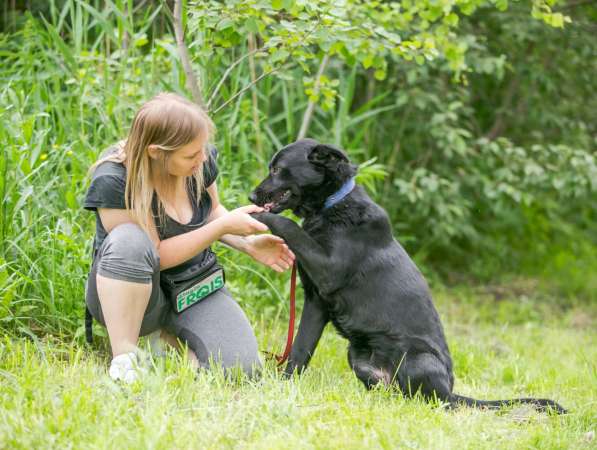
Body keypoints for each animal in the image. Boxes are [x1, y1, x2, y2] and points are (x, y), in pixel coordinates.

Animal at [249, 139, 564, 414]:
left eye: (277, 170)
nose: (252, 196)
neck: (332, 206)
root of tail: (451, 390)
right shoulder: (316, 301)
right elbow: (300, 349)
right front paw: (285, 385)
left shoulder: (327, 269)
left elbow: (289, 225)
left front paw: (255, 216)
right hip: (358, 355)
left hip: (417, 358)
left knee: (437, 403)